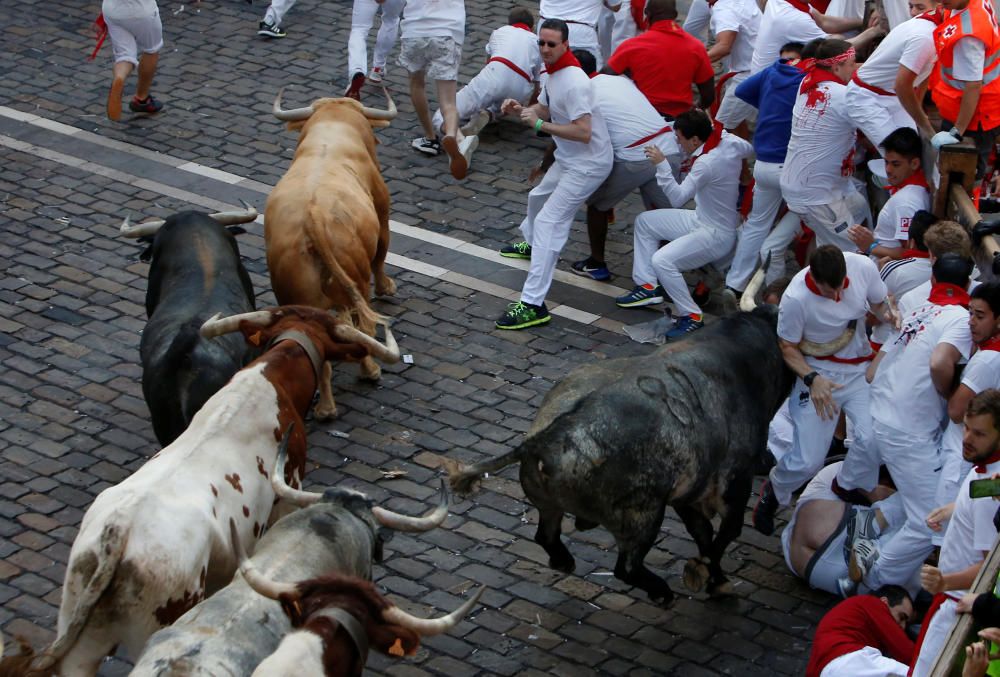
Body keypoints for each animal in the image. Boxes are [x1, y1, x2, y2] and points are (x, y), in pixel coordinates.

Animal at [266, 88, 398, 420]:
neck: (333, 129)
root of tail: (312, 217)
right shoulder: (382, 207)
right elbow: (382, 252)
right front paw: (387, 286)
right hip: (357, 282)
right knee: (363, 327)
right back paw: (370, 371)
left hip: (296, 296)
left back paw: (325, 408)